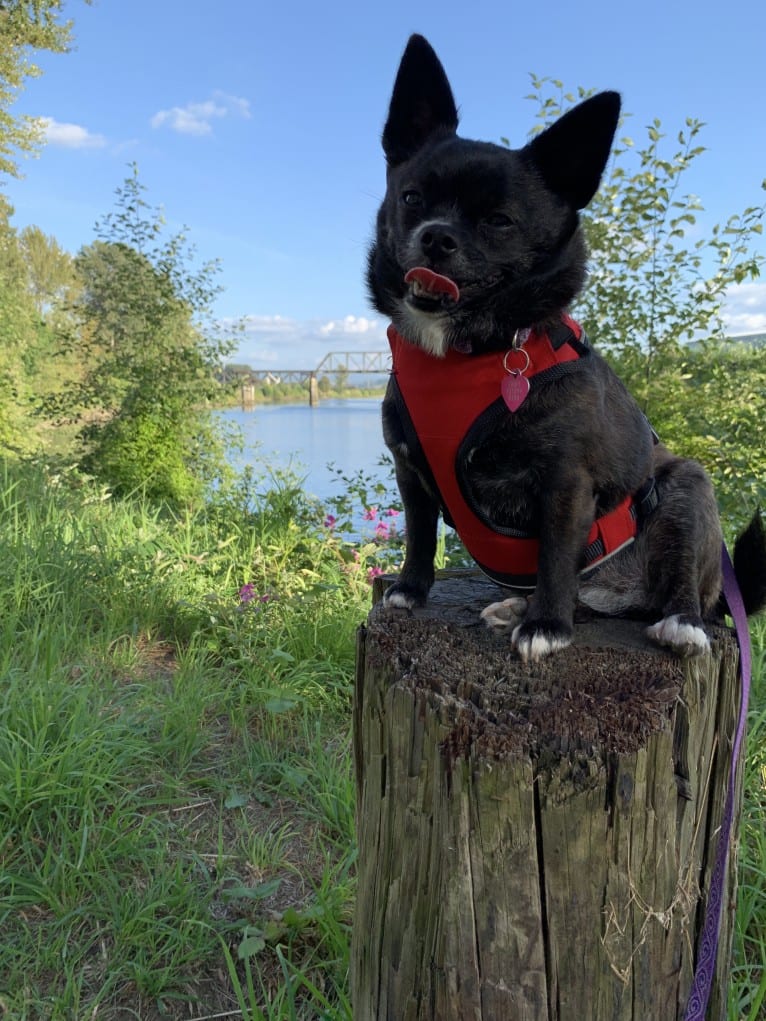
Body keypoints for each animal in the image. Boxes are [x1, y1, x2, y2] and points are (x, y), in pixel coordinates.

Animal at [369, 33, 763, 661]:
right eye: (411, 197)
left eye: (499, 220)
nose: (437, 236)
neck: (470, 352)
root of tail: (623, 596)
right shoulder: (410, 470)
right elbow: (419, 532)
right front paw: (409, 588)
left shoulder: (565, 482)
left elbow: (555, 555)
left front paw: (547, 626)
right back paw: (517, 607)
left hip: (686, 490)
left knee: (682, 592)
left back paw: (676, 623)